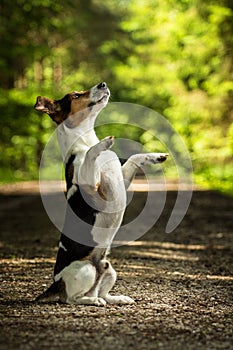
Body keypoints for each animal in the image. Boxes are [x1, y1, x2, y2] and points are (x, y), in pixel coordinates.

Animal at [34, 81, 167, 304]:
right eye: (76, 95)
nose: (102, 84)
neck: (85, 140)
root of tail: (55, 284)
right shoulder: (93, 188)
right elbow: (90, 153)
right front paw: (103, 143)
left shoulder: (121, 179)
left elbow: (134, 158)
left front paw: (156, 156)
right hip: (85, 269)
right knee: (72, 299)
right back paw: (92, 301)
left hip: (109, 269)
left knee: (101, 290)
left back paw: (118, 298)